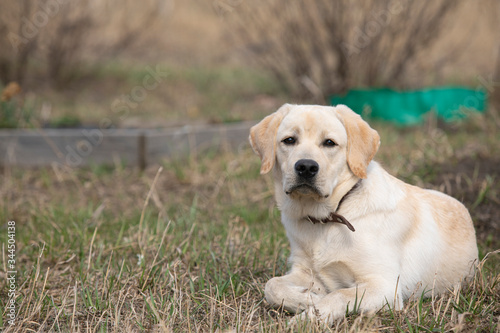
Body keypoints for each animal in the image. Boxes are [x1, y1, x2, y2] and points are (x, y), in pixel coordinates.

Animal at [250, 103, 476, 322]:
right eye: (289, 140)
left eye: (329, 143)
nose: (306, 166)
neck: (329, 217)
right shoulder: (307, 271)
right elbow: (272, 285)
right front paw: (308, 299)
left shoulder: (384, 286)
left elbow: (339, 294)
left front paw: (308, 318)